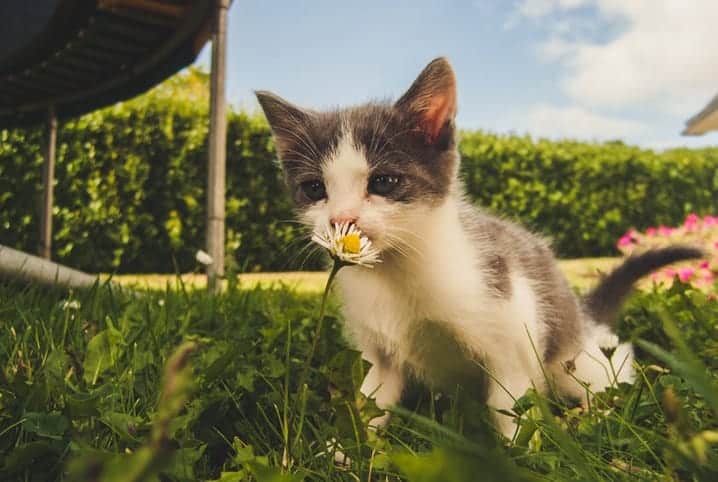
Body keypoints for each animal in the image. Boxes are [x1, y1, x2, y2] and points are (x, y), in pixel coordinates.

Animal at [258, 56, 704, 436]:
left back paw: (598, 413)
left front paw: (519, 455)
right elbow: (371, 402)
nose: (341, 220)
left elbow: (510, 408)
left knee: (608, 365)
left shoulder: (512, 330)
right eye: (315, 189)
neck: (398, 271)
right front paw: (344, 453)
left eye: (383, 182)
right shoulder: (379, 352)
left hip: (571, 356)